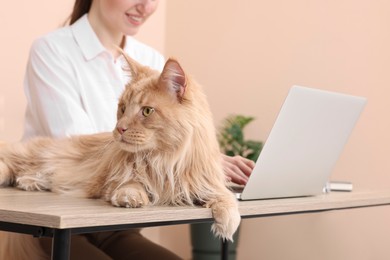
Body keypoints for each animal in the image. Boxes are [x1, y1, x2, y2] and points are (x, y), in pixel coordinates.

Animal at [0, 52, 241, 258]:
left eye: (147, 111)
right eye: (123, 108)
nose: (119, 128)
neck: (162, 159)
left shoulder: (203, 181)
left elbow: (225, 196)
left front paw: (229, 221)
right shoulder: (113, 180)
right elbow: (131, 183)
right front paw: (131, 197)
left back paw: (29, 182)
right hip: (33, 154)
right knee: (9, 161)